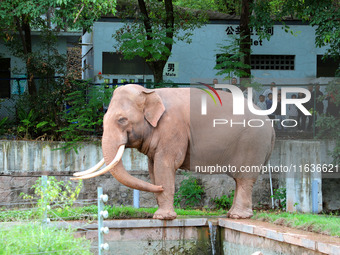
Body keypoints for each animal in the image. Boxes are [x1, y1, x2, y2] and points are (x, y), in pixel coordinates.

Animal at [72, 83, 276, 219]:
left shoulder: (173, 127)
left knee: (244, 179)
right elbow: (153, 168)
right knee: (239, 180)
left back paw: (238, 216)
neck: (151, 92)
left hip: (252, 143)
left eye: (122, 120)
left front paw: (163, 217)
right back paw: (232, 214)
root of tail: (270, 124)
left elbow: (165, 164)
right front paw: (160, 209)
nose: (160, 188)